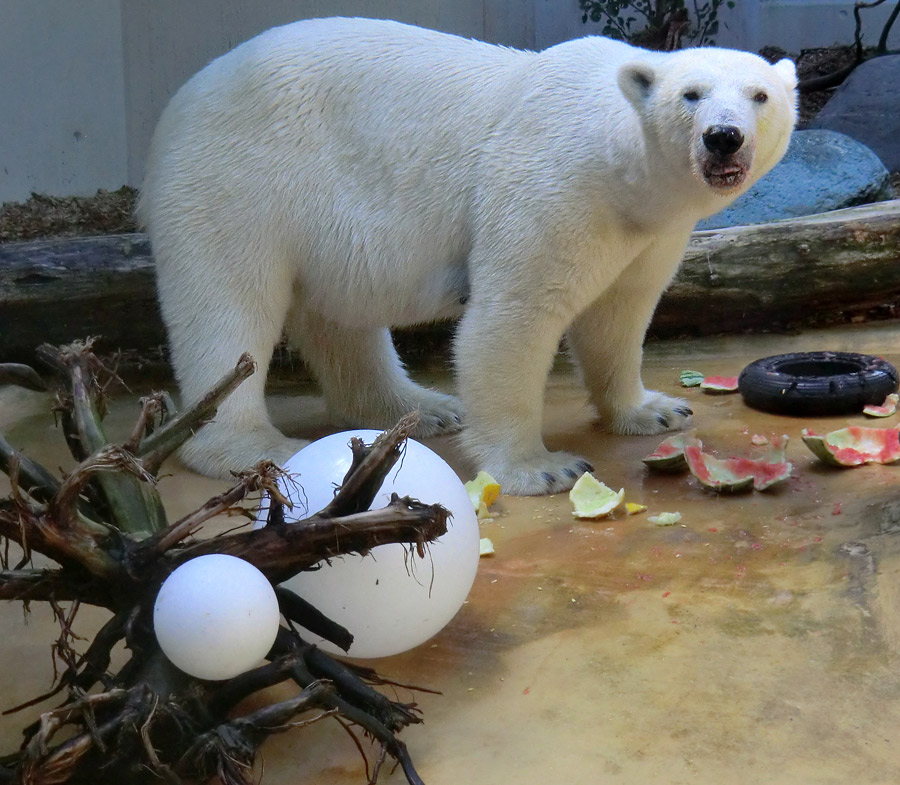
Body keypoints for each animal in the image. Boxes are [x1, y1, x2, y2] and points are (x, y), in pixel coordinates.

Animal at [139, 16, 796, 496]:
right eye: (691, 94)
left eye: (760, 95)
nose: (723, 137)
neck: (622, 165)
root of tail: (177, 105)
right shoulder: (553, 183)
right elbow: (514, 316)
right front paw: (543, 467)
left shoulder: (648, 230)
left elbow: (619, 313)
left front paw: (654, 410)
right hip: (238, 180)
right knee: (229, 308)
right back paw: (255, 445)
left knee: (340, 319)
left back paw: (421, 409)